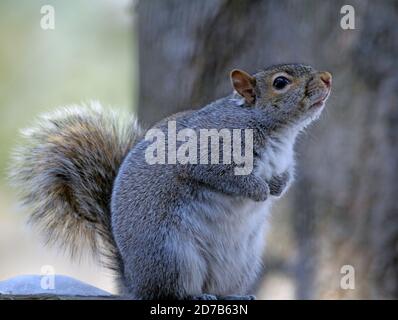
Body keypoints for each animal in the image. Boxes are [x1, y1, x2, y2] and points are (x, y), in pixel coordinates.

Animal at [10, 63, 332, 300]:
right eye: (281, 82)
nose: (327, 78)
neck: (279, 132)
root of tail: (134, 282)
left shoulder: (284, 161)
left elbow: (285, 177)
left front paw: (276, 188)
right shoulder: (207, 154)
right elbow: (225, 177)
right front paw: (259, 189)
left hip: (241, 265)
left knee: (218, 287)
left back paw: (233, 295)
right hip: (173, 256)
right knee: (171, 292)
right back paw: (195, 296)